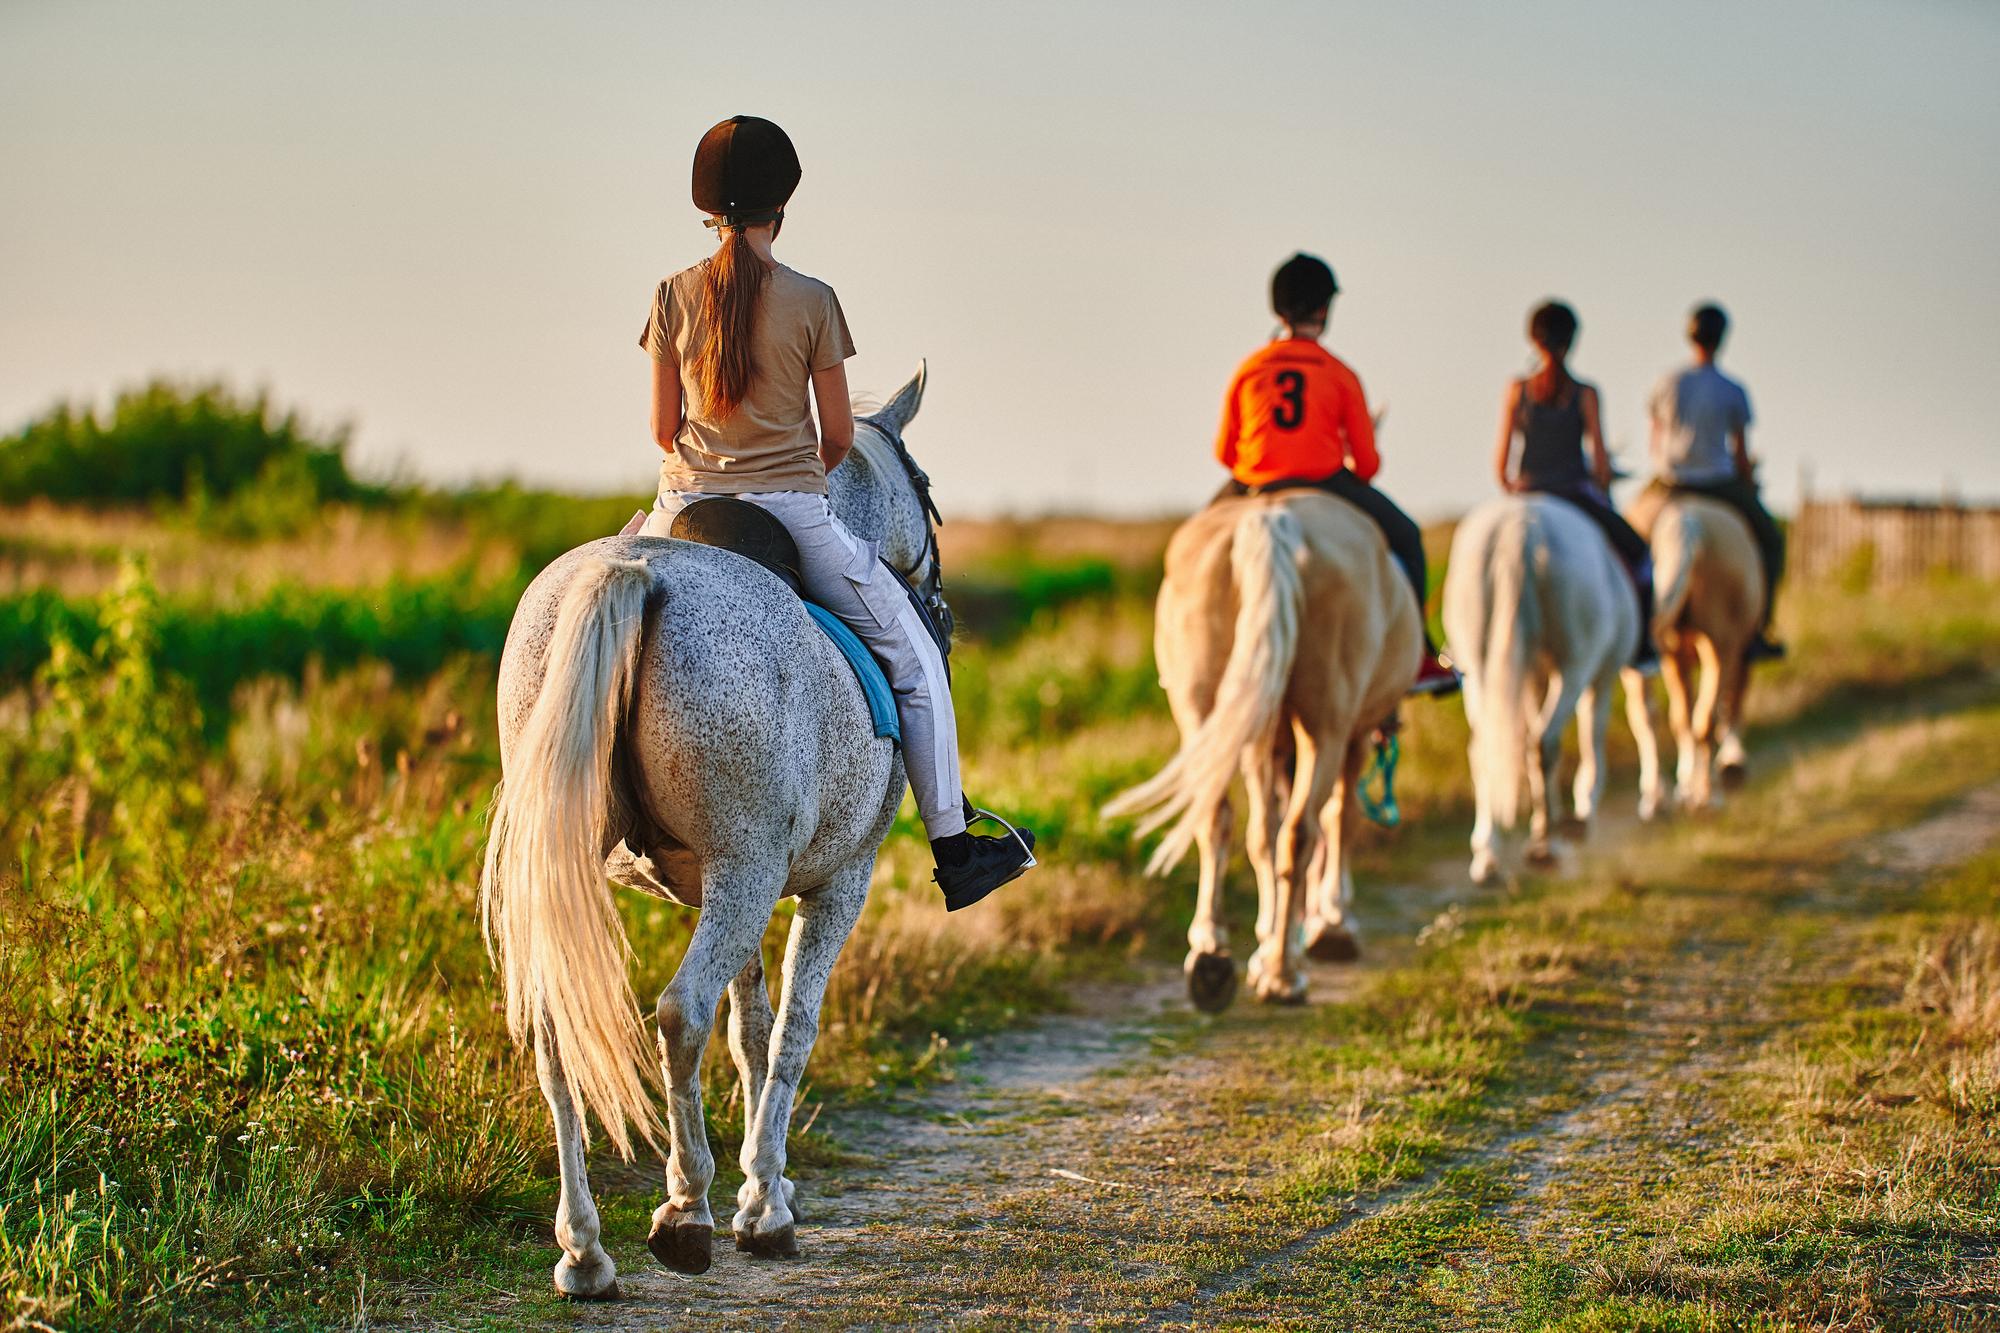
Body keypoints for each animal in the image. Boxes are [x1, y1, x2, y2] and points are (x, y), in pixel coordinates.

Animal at [478, 366, 941, 1298]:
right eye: (931, 494)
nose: (938, 602)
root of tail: (632, 571)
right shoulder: (836, 881)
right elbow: (792, 1030)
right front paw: (763, 1205)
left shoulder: (740, 890)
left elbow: (751, 1031)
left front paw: (772, 1186)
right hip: (747, 877)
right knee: (679, 1012)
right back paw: (684, 1207)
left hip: (656, 879)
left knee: (555, 1033)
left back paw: (585, 1250)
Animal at [1105, 491, 1420, 1009]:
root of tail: (1272, 522)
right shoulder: (1352, 734)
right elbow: (1338, 818)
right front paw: (1329, 924)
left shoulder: (1262, 736)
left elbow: (1261, 835)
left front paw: (1270, 939)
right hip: (1326, 723)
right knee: (1302, 831)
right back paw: (1282, 975)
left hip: (1205, 709)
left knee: (1220, 818)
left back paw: (1213, 955)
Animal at [1442, 495, 1661, 885]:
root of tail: (1519, 532)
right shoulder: (1601, 675)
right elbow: (1592, 740)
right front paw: (1581, 815)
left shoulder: (1532, 679)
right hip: (1575, 665)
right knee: (1545, 741)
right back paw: (1547, 845)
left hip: (1481, 670)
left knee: (1485, 750)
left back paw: (1489, 856)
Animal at [1627, 487, 1764, 810]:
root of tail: (1686, 521)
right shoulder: (1740, 649)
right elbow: (1730, 703)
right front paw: (1731, 763)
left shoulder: (1674, 656)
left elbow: (1681, 719)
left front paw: (1684, 785)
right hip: (1721, 644)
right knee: (1705, 720)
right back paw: (1708, 795)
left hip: (1668, 650)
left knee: (1653, 716)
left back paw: (1657, 797)